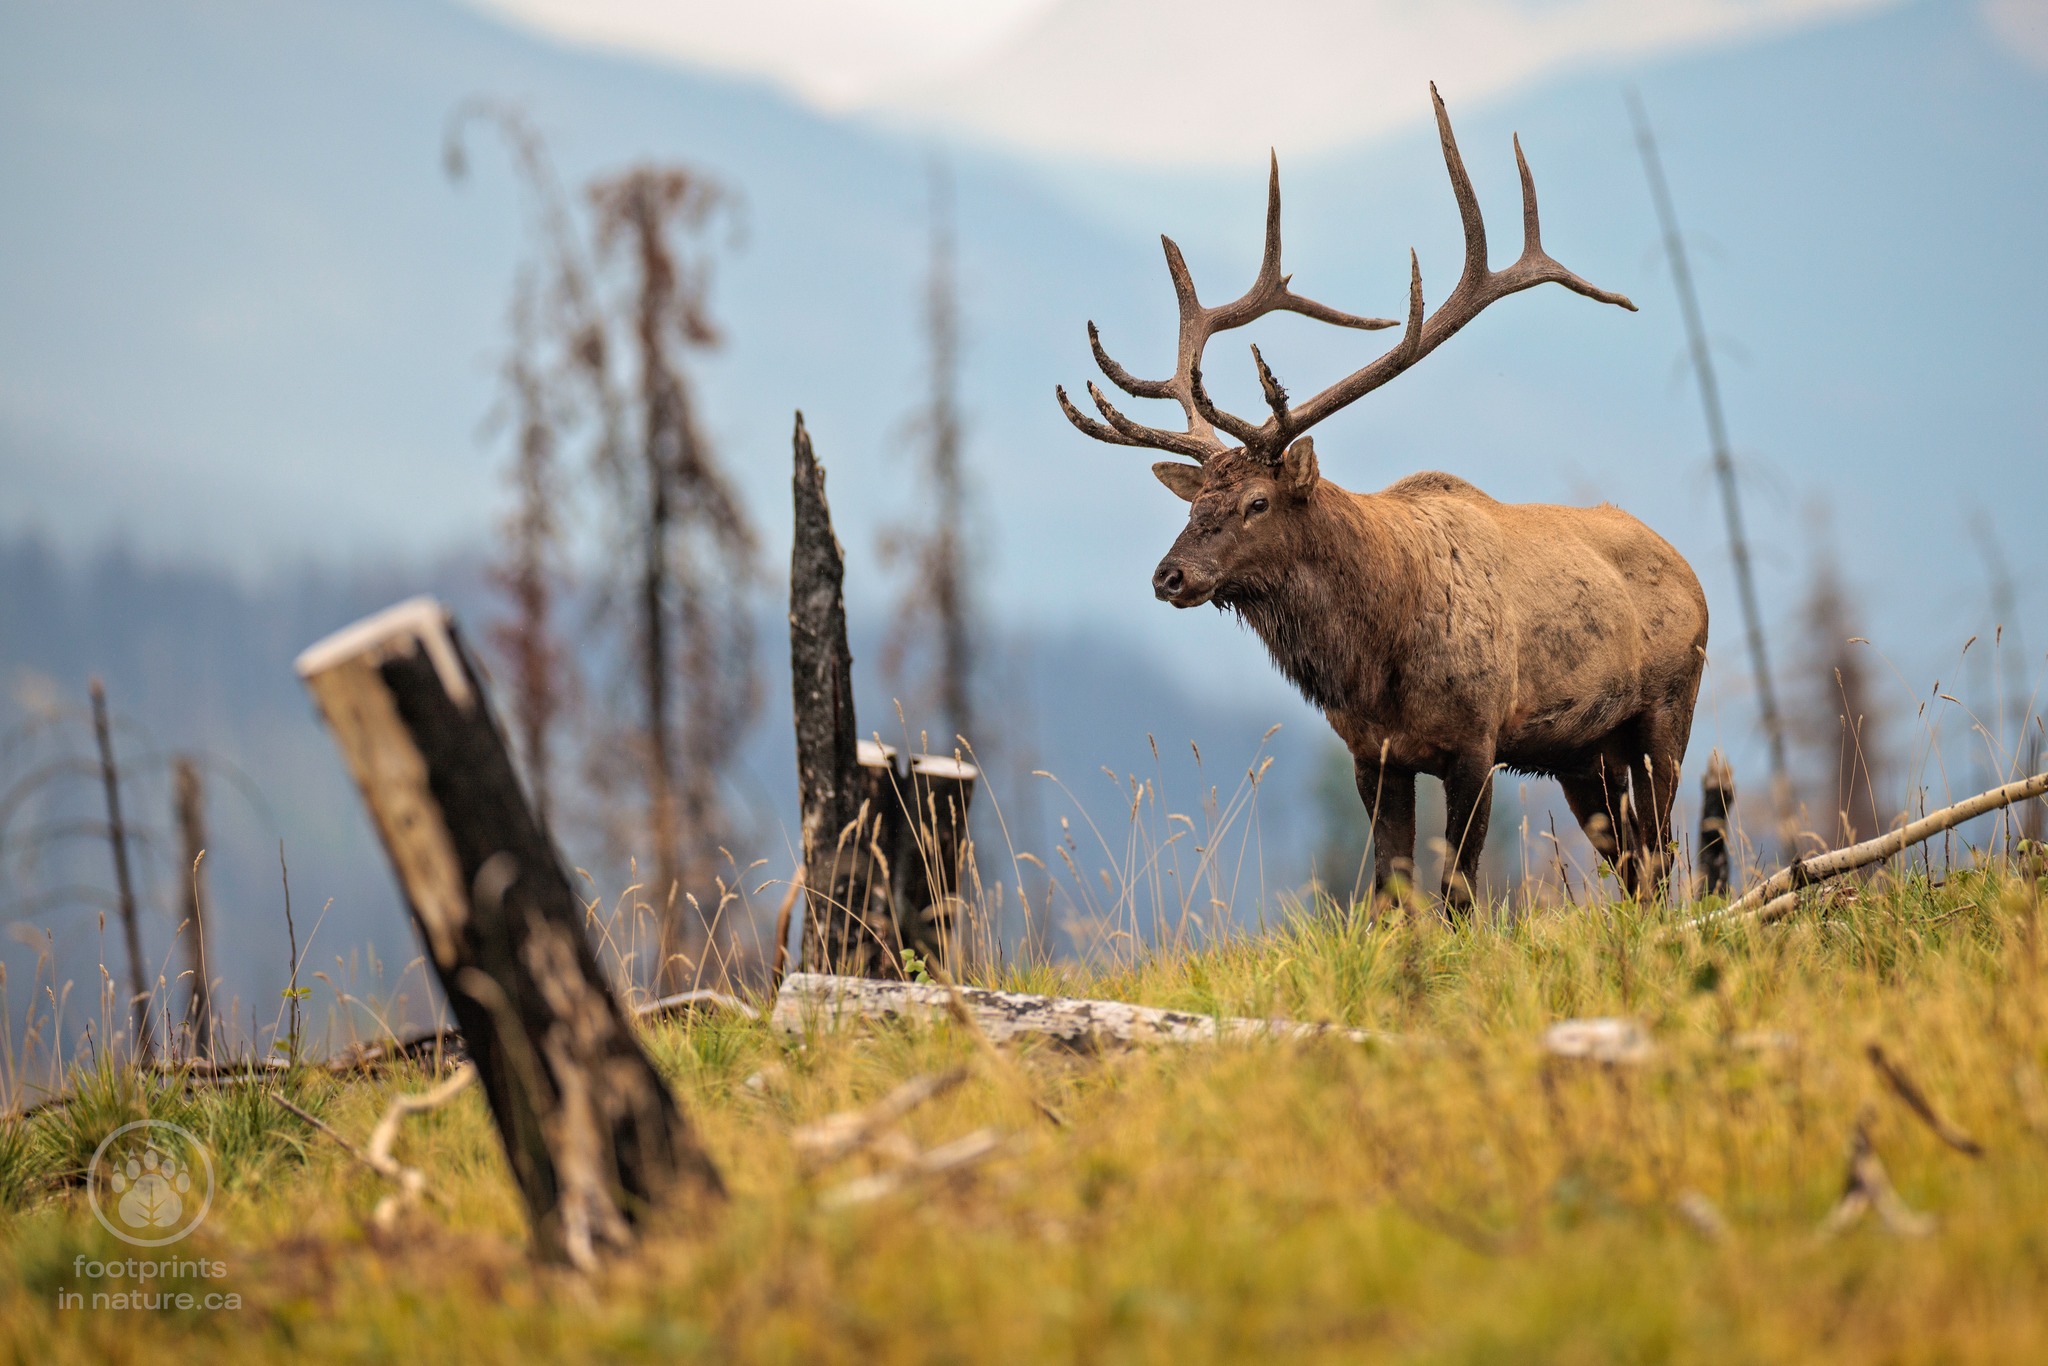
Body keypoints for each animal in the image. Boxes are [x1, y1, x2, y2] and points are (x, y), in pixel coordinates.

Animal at [1056, 86, 1708, 916]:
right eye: (1193, 502)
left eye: (1258, 502)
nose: (1170, 576)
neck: (1379, 658)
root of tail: (1690, 570)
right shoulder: (1374, 753)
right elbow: (1389, 894)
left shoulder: (1477, 740)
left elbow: (1458, 893)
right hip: (1584, 753)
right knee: (1633, 864)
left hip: (1666, 712)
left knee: (1659, 855)